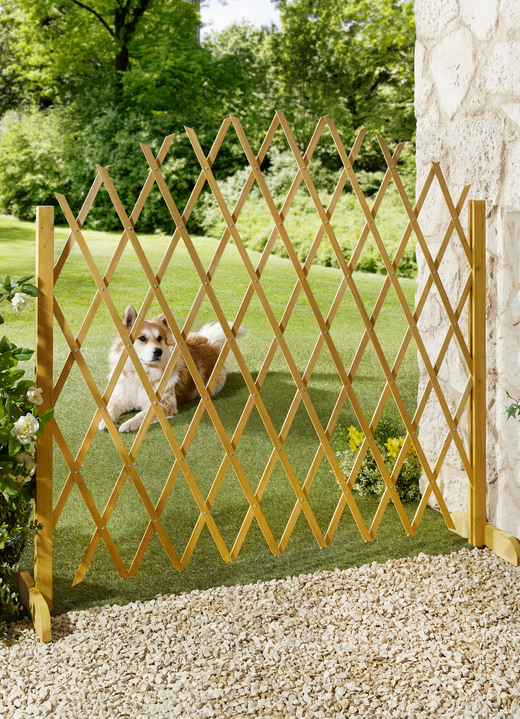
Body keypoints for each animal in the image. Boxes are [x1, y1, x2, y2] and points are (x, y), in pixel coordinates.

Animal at [98, 304, 248, 434]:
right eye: (142, 338)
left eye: (159, 338)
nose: (158, 351)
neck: (144, 375)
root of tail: (210, 342)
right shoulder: (120, 399)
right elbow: (110, 409)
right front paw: (106, 422)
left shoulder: (164, 405)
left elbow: (142, 414)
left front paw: (129, 423)